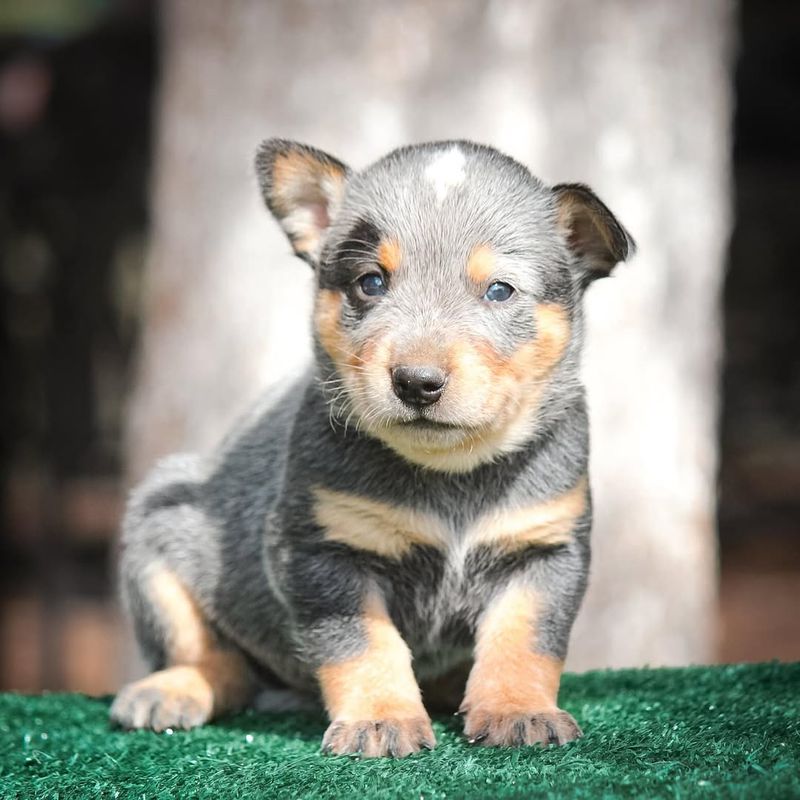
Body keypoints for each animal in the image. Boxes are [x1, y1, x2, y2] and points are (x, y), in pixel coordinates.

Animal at [109, 141, 636, 760]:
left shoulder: (544, 549)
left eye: (500, 290)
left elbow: (524, 641)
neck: (450, 475)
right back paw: (172, 690)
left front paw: (518, 709)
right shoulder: (324, 553)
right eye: (371, 282)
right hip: (158, 525)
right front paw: (379, 721)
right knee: (215, 660)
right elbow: (362, 645)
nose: (416, 381)